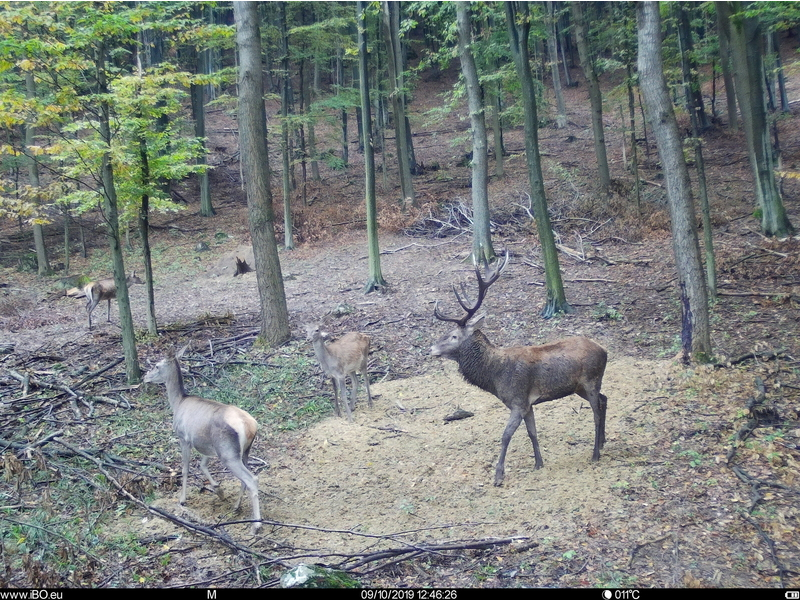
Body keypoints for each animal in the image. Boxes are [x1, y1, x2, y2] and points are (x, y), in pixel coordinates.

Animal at [141, 346, 260, 536]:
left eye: (157, 365)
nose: (145, 376)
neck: (178, 402)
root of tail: (250, 426)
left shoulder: (184, 437)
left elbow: (185, 468)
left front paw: (182, 499)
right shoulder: (207, 445)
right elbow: (203, 465)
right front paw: (219, 490)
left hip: (228, 453)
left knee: (251, 479)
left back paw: (255, 525)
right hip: (244, 452)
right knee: (246, 477)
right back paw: (236, 506)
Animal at [432, 251, 608, 486]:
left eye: (453, 336)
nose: (431, 348)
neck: (496, 375)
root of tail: (604, 351)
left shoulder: (517, 401)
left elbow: (506, 435)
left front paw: (498, 476)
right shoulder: (528, 403)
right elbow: (532, 432)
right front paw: (539, 463)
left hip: (591, 380)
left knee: (596, 412)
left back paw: (595, 454)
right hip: (580, 386)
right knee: (604, 399)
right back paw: (603, 442)